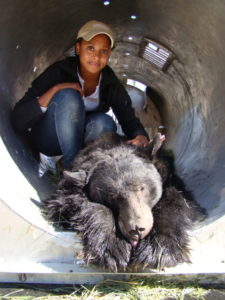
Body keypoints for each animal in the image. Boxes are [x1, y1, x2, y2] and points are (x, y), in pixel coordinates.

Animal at [42, 133, 206, 272]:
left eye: (142, 187)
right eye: (113, 197)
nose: (136, 229)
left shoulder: (172, 182)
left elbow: (177, 203)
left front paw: (158, 250)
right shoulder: (69, 187)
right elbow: (70, 204)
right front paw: (112, 249)